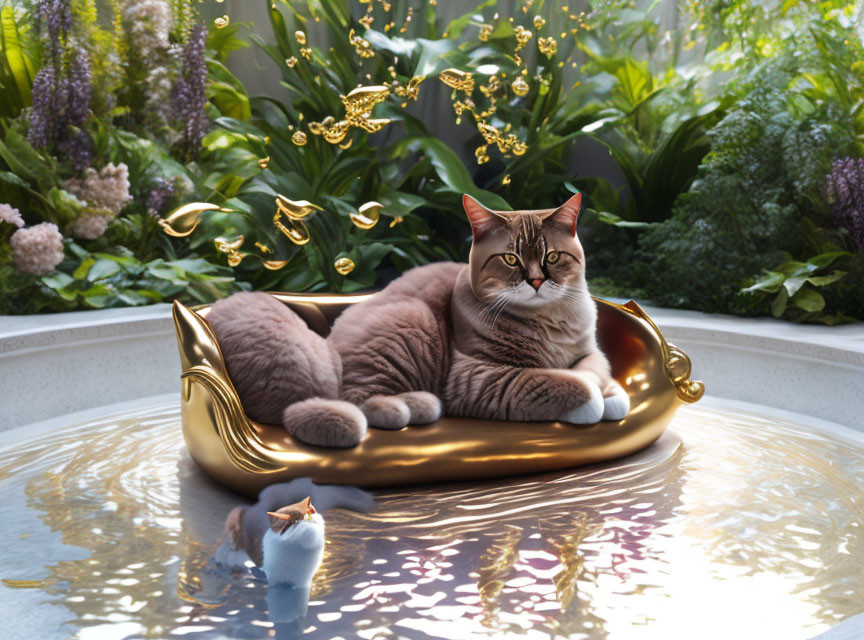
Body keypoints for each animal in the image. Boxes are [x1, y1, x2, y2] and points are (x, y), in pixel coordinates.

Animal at [208, 192, 628, 448]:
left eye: (552, 257)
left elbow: (594, 368)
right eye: (510, 259)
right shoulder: (476, 375)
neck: (549, 319)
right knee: (357, 398)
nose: (537, 281)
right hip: (413, 321)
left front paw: (612, 394)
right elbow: (562, 381)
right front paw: (593, 401)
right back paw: (409, 407)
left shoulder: (589, 350)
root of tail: (330, 342)